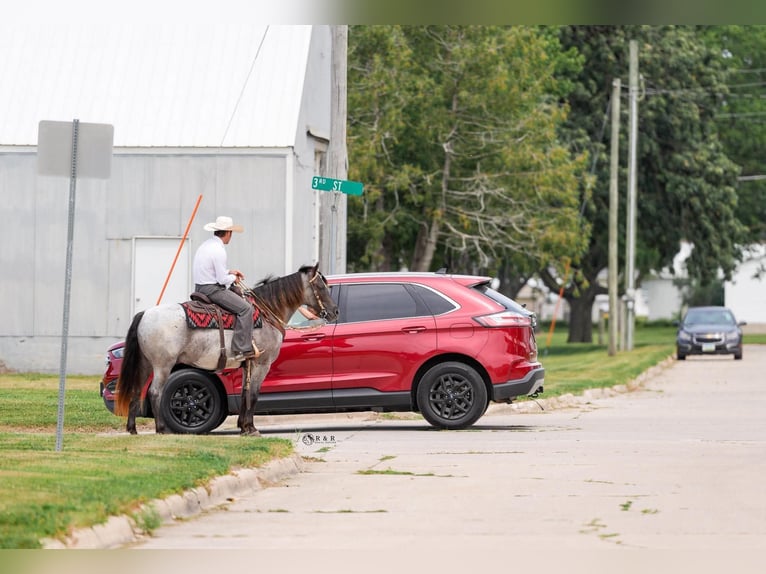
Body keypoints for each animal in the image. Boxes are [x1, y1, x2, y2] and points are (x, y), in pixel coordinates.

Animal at [114, 263, 337, 436]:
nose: (334, 312)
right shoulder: (261, 364)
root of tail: (145, 313)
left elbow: (245, 393)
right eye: (320, 286)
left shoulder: (248, 364)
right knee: (154, 392)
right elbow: (254, 394)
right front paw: (252, 429)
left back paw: (132, 429)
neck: (267, 312)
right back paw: (161, 429)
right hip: (163, 365)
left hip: (145, 365)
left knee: (136, 391)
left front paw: (244, 427)